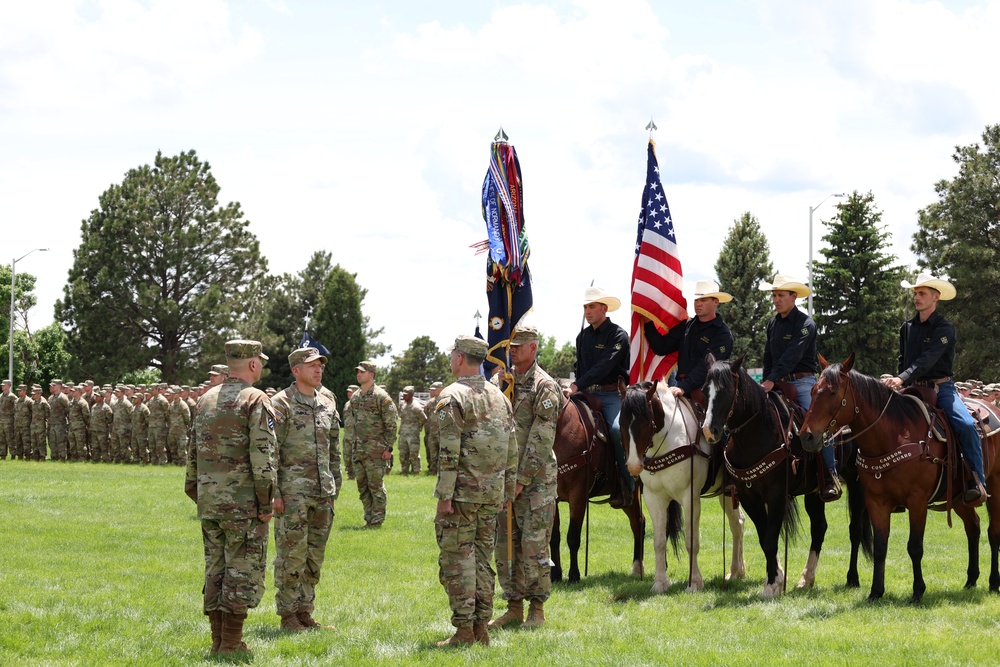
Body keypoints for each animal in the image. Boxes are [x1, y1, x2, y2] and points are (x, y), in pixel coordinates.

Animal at [552, 396, 644, 584]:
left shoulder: (578, 495)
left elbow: (573, 537)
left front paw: (574, 576)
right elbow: (554, 537)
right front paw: (555, 574)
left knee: (640, 522)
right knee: (638, 523)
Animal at [620, 380, 748, 596]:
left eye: (646, 422)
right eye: (621, 422)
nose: (633, 465)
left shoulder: (690, 497)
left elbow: (691, 541)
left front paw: (694, 582)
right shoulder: (654, 499)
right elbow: (659, 542)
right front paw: (660, 583)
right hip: (726, 493)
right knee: (737, 524)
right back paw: (735, 571)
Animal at [704, 354, 868, 600]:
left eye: (726, 389)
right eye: (706, 390)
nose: (709, 430)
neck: (759, 434)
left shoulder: (776, 496)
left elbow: (771, 540)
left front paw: (771, 585)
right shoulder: (749, 498)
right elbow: (764, 539)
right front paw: (776, 579)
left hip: (856, 482)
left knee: (855, 528)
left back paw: (852, 578)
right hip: (815, 493)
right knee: (819, 528)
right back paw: (806, 579)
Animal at [800, 352, 1000, 604]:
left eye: (833, 392)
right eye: (813, 390)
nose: (806, 436)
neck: (893, 435)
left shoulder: (917, 501)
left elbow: (914, 546)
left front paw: (918, 591)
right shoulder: (876, 502)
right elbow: (880, 547)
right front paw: (876, 591)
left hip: (995, 485)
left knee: (993, 531)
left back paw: (994, 582)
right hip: (959, 496)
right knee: (973, 526)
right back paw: (971, 579)